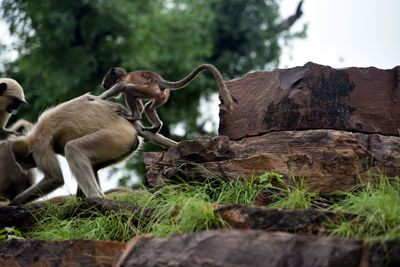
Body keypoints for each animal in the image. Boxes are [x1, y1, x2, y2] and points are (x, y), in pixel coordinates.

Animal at [7, 93, 176, 205]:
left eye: (26, 162)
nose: (21, 169)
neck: (33, 136)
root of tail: (131, 125)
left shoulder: (39, 146)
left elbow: (55, 179)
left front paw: (13, 203)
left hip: (117, 136)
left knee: (73, 149)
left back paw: (96, 198)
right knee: (90, 163)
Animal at [97, 63, 234, 134]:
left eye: (106, 78)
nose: (103, 83)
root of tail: (160, 81)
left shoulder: (120, 80)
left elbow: (122, 86)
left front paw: (99, 98)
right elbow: (140, 106)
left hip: (151, 89)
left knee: (129, 90)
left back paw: (135, 116)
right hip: (162, 95)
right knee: (148, 107)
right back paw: (156, 126)